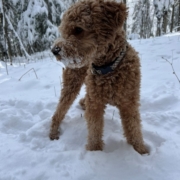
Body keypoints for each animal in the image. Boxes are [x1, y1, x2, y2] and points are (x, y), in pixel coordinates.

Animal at [48, 0, 148, 155]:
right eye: (64, 30)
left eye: (78, 29)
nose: (55, 50)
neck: (109, 68)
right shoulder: (95, 103)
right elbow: (95, 130)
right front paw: (95, 153)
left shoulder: (129, 102)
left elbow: (134, 128)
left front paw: (140, 151)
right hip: (72, 83)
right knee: (59, 110)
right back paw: (53, 132)